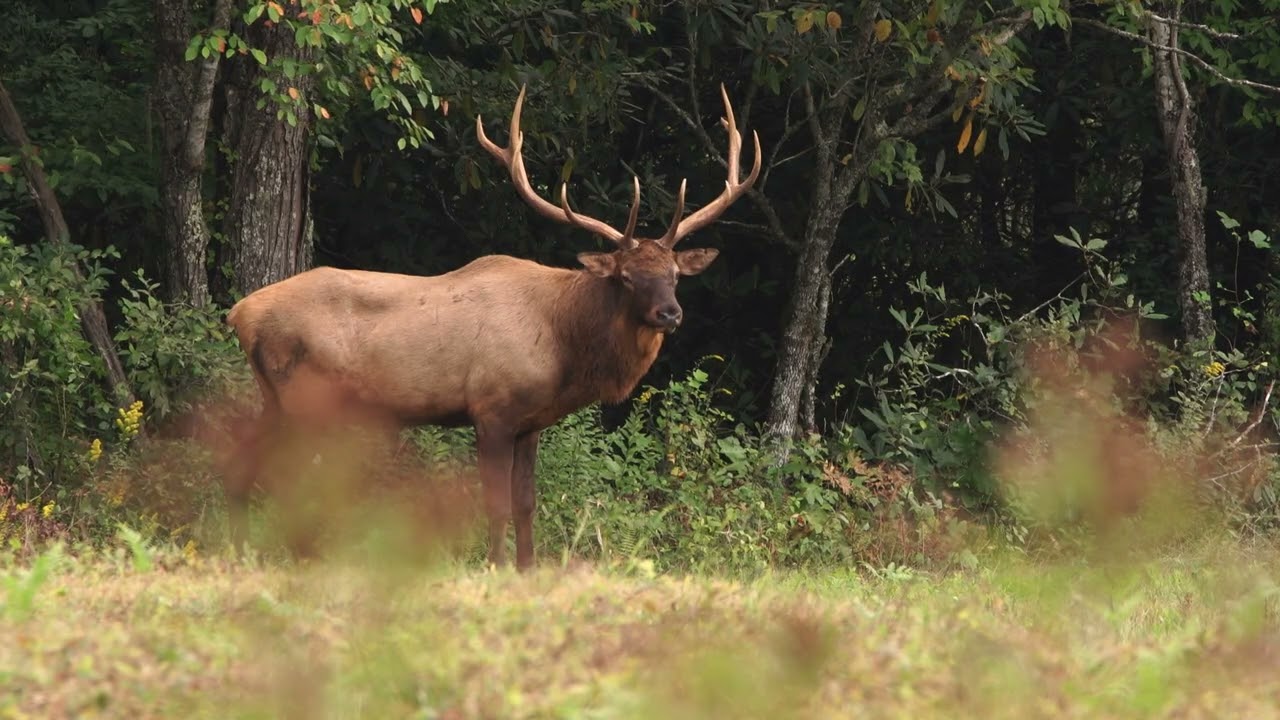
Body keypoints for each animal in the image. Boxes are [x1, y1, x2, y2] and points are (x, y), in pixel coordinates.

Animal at [223, 84, 760, 570]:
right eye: (627, 277)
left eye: (674, 275)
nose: (670, 313)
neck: (564, 345)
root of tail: (239, 313)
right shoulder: (492, 408)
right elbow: (496, 503)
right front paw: (497, 567)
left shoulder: (532, 423)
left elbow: (526, 503)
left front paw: (527, 568)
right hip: (305, 398)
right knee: (283, 480)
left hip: (279, 399)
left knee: (244, 468)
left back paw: (244, 552)